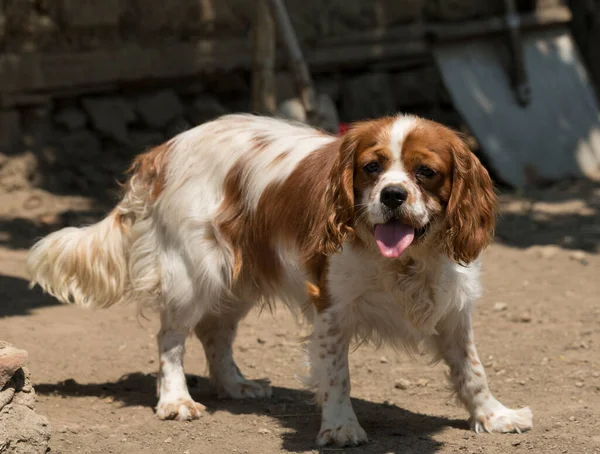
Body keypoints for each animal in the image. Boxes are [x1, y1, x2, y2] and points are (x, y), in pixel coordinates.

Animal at [27, 113, 536, 446]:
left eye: (426, 172)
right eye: (371, 168)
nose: (392, 195)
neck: (406, 260)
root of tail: (167, 148)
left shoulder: (453, 308)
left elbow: (472, 369)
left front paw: (493, 415)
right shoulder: (331, 308)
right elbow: (337, 374)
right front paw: (340, 426)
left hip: (239, 278)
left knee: (215, 332)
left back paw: (235, 386)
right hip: (196, 272)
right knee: (171, 338)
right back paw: (176, 400)